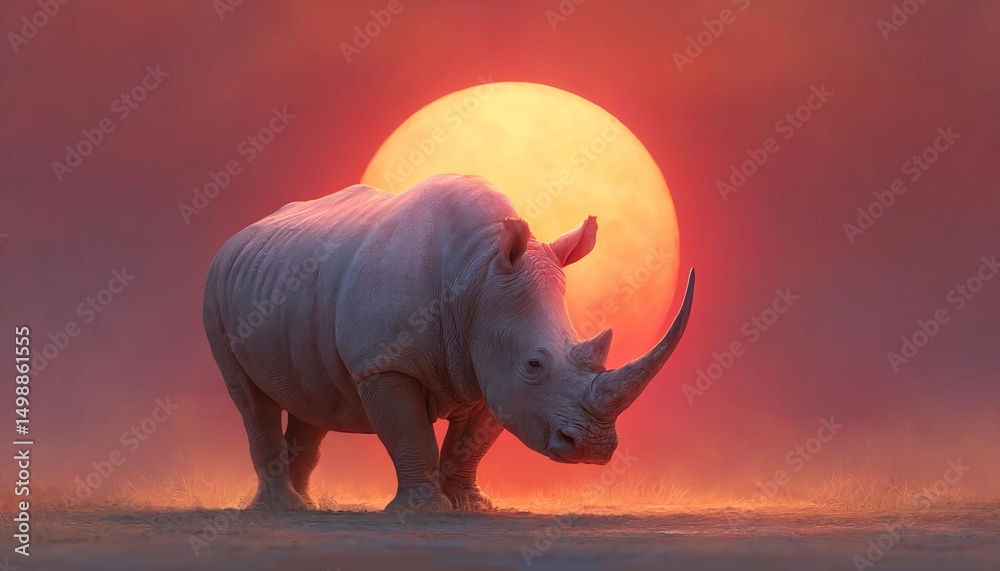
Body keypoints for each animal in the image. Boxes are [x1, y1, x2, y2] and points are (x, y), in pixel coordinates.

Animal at [202, 174, 694, 511]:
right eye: (534, 364)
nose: (592, 447)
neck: (476, 274)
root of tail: (239, 236)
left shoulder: (491, 367)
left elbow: (471, 442)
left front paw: (471, 507)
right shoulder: (383, 363)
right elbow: (409, 432)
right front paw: (425, 510)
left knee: (312, 399)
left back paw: (305, 508)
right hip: (214, 288)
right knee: (251, 400)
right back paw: (281, 509)